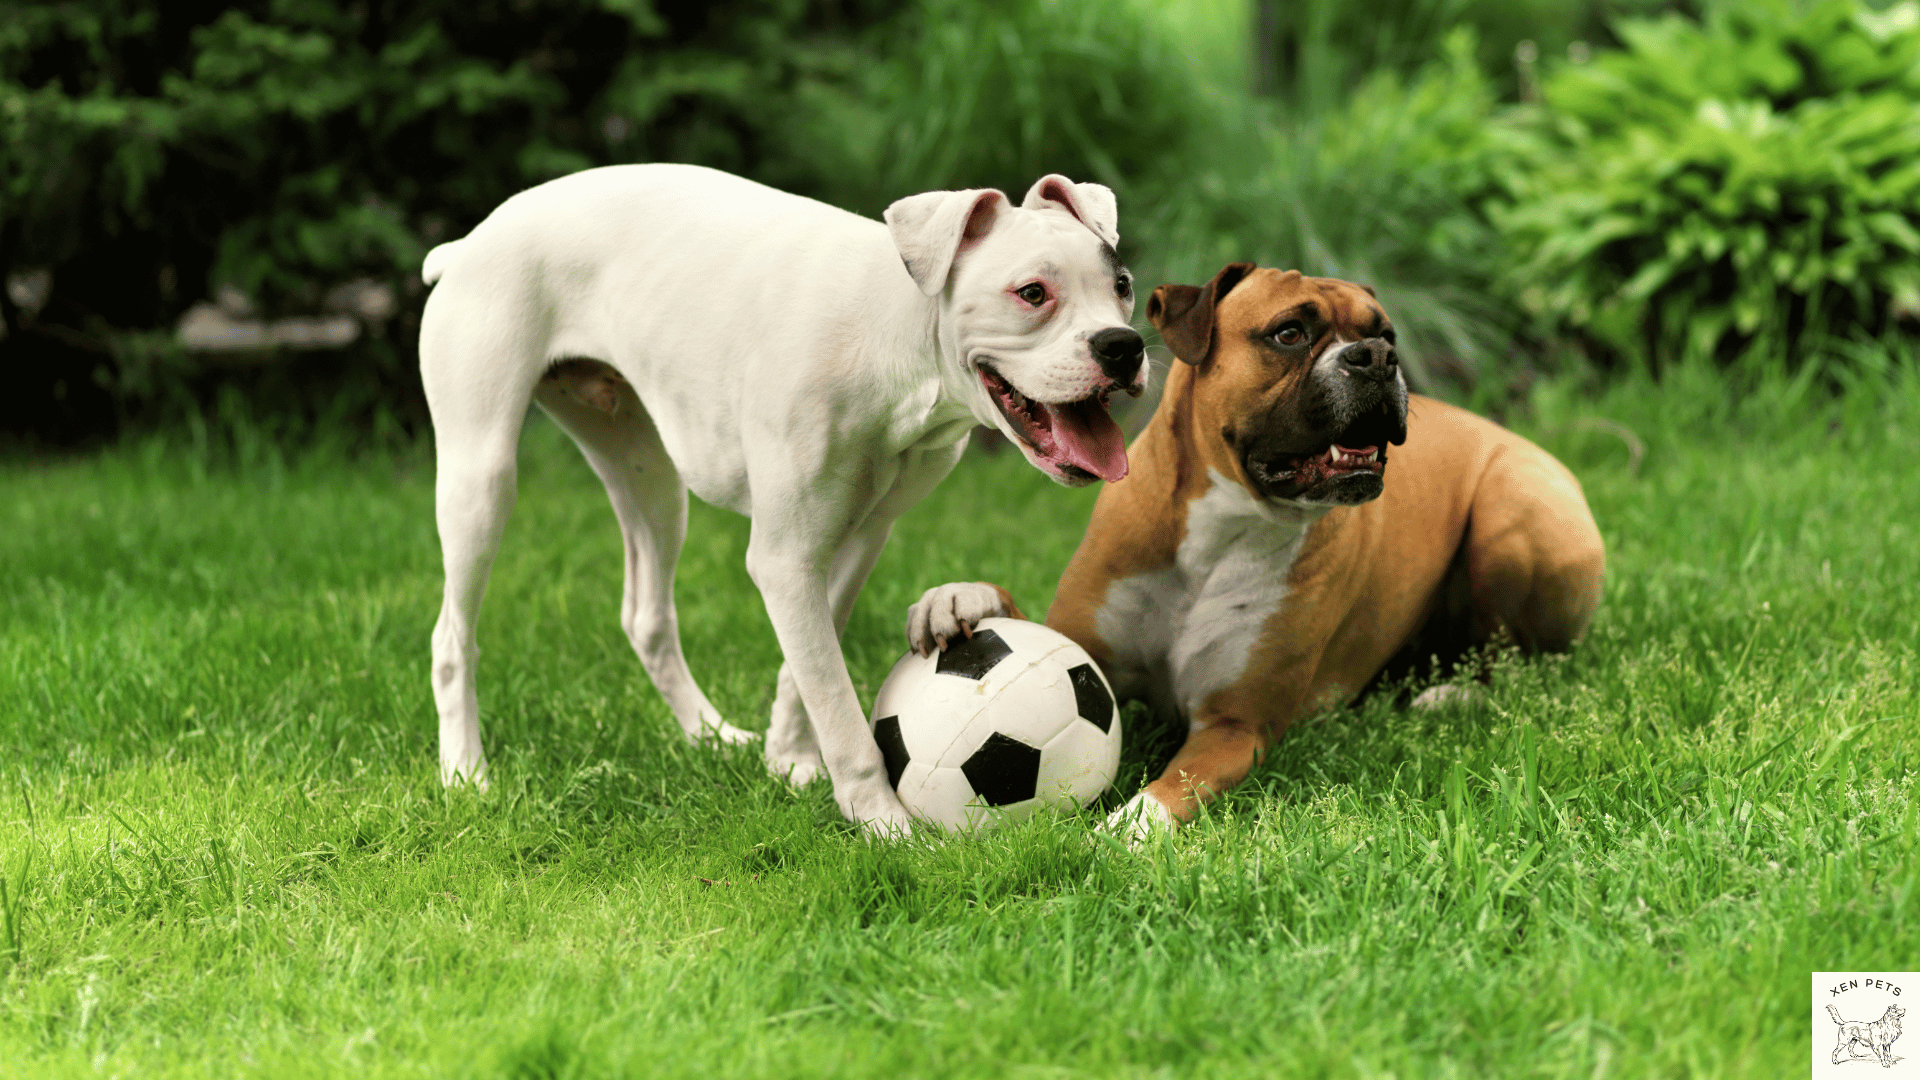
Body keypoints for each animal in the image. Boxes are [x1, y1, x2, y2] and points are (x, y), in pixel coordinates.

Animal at [416, 164, 1136, 826]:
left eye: (1122, 285)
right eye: (1032, 292)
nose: (1123, 346)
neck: (893, 338)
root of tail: (467, 243)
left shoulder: (853, 542)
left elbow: (807, 671)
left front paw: (788, 762)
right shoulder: (787, 557)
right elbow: (837, 704)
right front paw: (883, 824)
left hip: (651, 482)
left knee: (647, 617)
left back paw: (709, 737)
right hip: (481, 480)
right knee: (452, 639)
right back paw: (465, 774)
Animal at [906, 261, 1612, 834]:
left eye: (1387, 335)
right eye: (1289, 334)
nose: (1376, 358)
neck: (1222, 529)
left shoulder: (1234, 726)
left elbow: (1171, 786)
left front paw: (1123, 832)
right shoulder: (1082, 647)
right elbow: (1019, 621)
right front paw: (960, 599)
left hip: (1512, 510)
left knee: (1520, 661)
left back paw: (1452, 695)